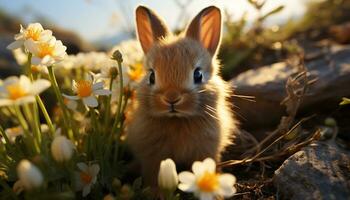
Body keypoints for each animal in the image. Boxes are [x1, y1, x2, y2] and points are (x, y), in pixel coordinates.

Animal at [126, 5, 238, 187]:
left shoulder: (206, 150)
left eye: (198, 75)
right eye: (151, 76)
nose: (171, 98)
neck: (177, 119)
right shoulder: (152, 156)